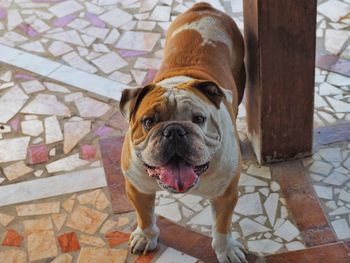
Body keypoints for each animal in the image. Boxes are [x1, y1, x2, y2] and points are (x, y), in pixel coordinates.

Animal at [120, 2, 246, 263]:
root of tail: (204, 8)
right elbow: (144, 215)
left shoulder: (226, 195)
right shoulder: (137, 188)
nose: (174, 131)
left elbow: (222, 226)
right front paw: (145, 236)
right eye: (148, 121)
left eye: (198, 119)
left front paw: (226, 249)